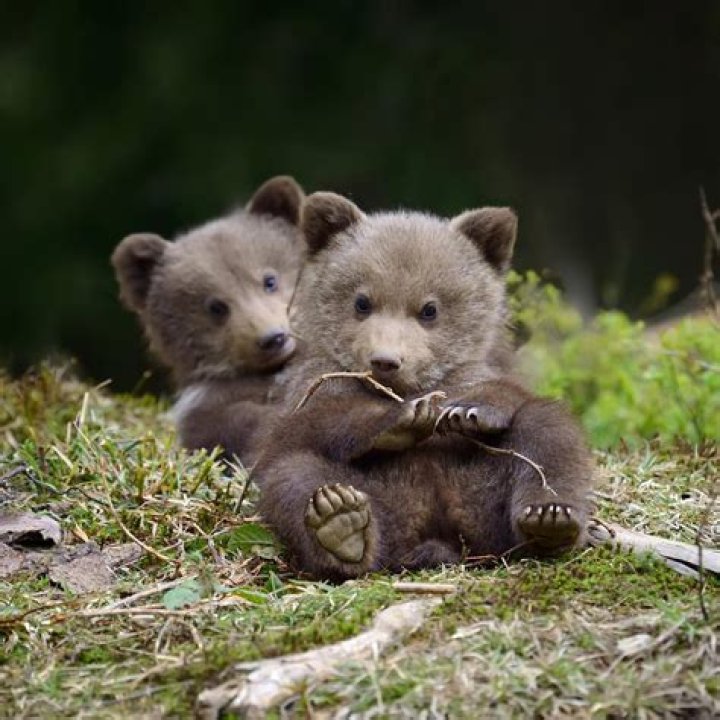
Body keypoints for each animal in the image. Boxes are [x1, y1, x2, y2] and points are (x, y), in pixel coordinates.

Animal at [251, 191, 594, 580]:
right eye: (362, 301)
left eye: (429, 309)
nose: (385, 360)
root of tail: (439, 530)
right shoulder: (314, 384)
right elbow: (318, 421)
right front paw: (403, 419)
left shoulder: (478, 370)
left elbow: (506, 394)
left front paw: (467, 411)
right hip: (380, 494)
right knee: (294, 476)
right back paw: (340, 523)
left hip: (483, 490)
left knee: (547, 431)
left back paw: (549, 519)